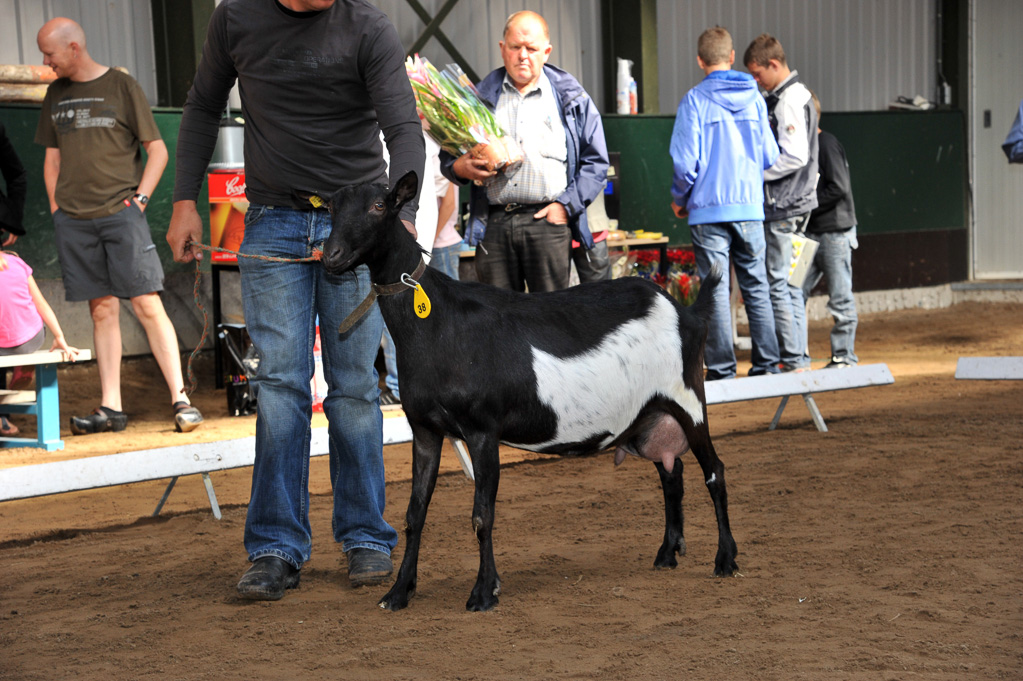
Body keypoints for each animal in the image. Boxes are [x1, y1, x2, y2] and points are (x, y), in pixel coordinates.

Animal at [315, 170, 740, 609]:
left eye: (378, 205)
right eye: (330, 207)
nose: (330, 256)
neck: (438, 322)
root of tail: (685, 310)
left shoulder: (482, 430)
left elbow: (482, 515)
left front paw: (484, 592)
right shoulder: (426, 430)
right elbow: (415, 514)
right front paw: (398, 592)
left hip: (688, 399)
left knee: (714, 471)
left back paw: (724, 559)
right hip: (647, 416)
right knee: (671, 474)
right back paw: (667, 553)